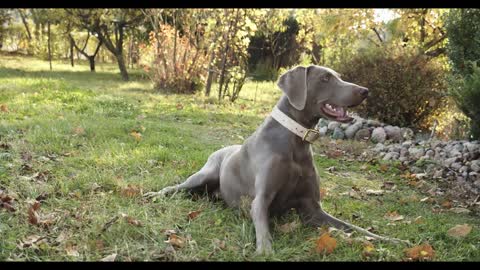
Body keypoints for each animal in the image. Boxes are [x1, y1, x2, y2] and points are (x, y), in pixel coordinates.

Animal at [145, 65, 404, 253]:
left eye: (338, 76)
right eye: (325, 78)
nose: (365, 91)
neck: (296, 141)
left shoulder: (313, 210)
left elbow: (353, 228)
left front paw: (389, 240)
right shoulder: (260, 200)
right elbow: (263, 229)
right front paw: (266, 252)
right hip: (203, 175)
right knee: (175, 187)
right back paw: (153, 194)